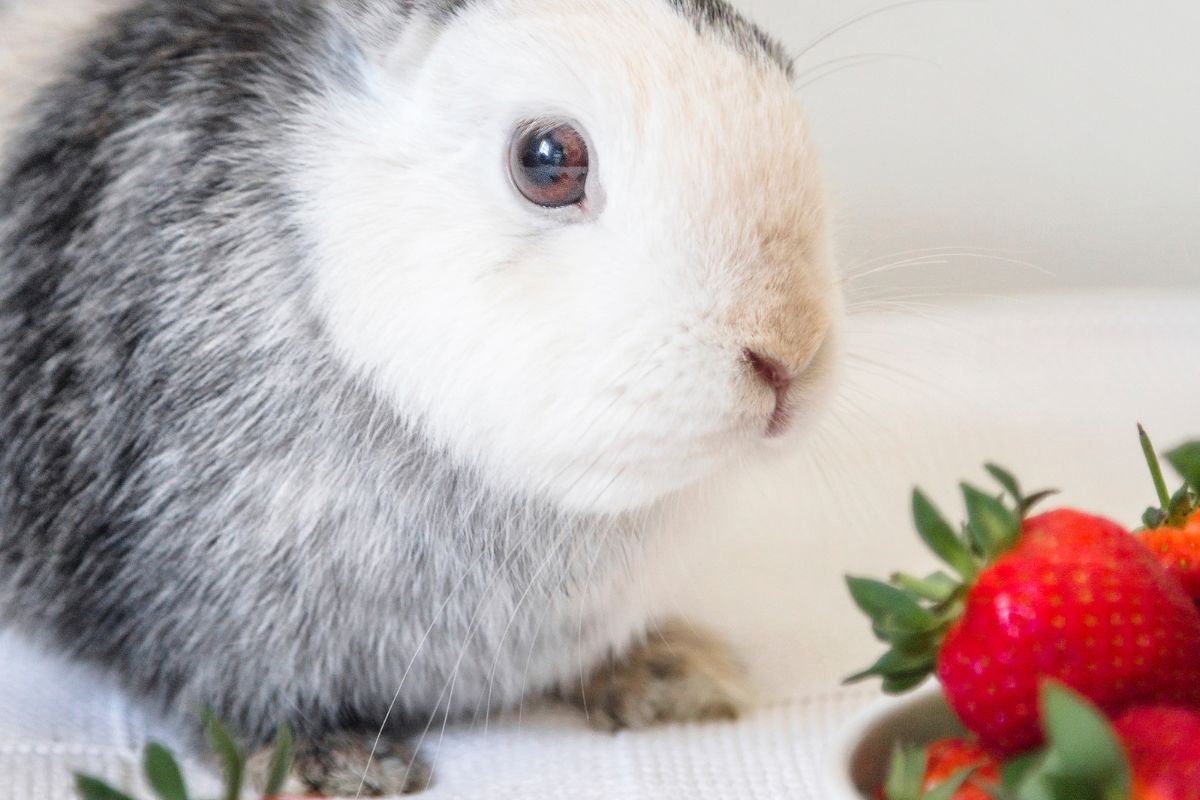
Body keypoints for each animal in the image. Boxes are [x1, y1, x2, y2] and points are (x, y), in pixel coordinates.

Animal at [0, 0, 841, 794]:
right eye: (549, 161)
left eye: (778, 62)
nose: (787, 354)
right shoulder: (199, 597)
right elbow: (227, 695)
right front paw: (335, 765)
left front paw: (675, 675)